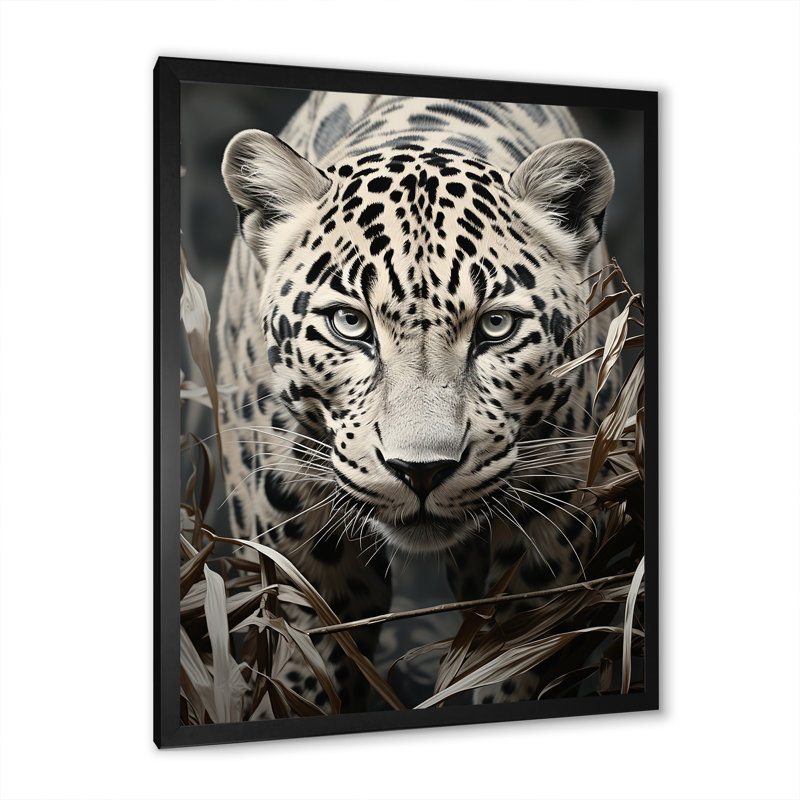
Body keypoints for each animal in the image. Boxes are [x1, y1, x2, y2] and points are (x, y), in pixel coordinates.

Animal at [216, 91, 616, 715]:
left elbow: (513, 664)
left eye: (496, 326)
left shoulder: (551, 545)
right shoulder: (301, 564)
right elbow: (310, 672)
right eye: (350, 322)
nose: (421, 472)